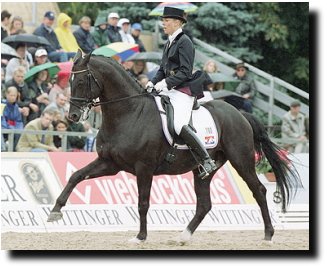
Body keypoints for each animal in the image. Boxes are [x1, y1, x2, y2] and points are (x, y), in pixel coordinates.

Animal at [47, 50, 302, 243]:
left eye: (81, 81)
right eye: (69, 81)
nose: (72, 116)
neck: (128, 113)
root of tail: (240, 113)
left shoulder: (144, 168)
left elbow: (143, 202)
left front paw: (140, 237)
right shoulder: (109, 163)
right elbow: (76, 176)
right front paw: (55, 212)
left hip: (242, 160)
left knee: (258, 191)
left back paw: (268, 235)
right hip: (203, 170)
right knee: (204, 204)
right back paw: (183, 236)